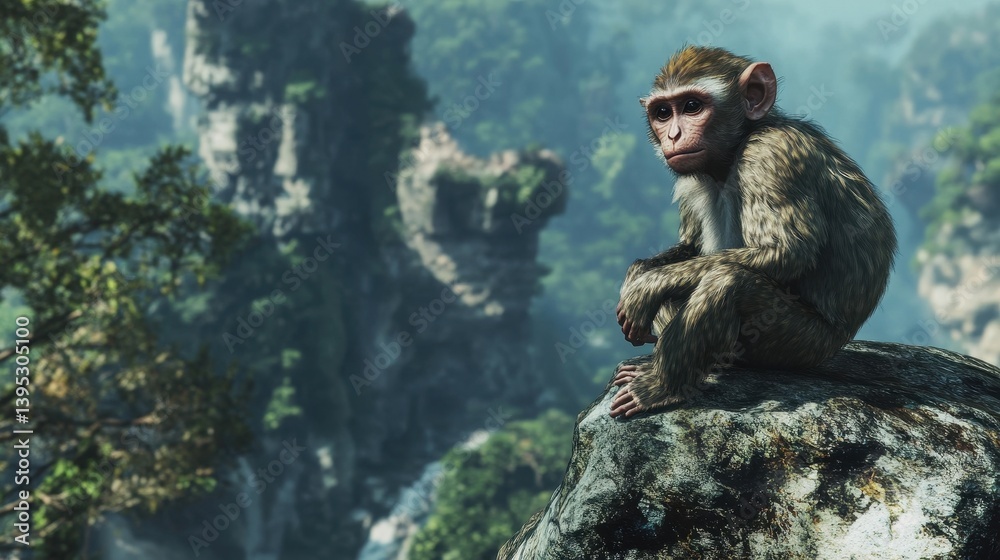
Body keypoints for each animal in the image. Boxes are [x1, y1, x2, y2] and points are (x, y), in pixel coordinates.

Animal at [609, 46, 896, 418]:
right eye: (662, 113)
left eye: (692, 106)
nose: (673, 136)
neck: (734, 150)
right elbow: (692, 245)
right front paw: (639, 272)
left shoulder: (771, 153)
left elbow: (787, 250)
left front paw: (645, 286)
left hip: (800, 344)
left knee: (728, 280)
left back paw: (663, 386)